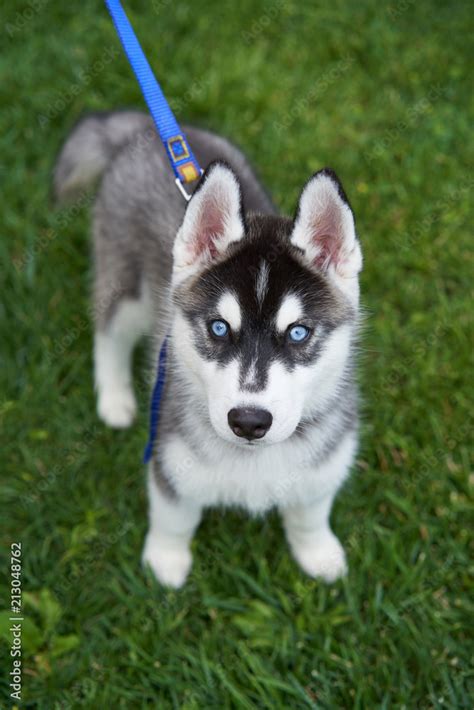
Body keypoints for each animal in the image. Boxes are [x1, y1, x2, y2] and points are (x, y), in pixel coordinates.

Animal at [53, 110, 362, 588]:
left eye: (297, 333)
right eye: (219, 328)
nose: (249, 421)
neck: (254, 458)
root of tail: (142, 129)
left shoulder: (324, 464)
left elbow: (310, 514)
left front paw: (319, 554)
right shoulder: (169, 456)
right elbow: (174, 518)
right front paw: (165, 562)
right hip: (126, 287)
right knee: (109, 335)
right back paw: (115, 398)